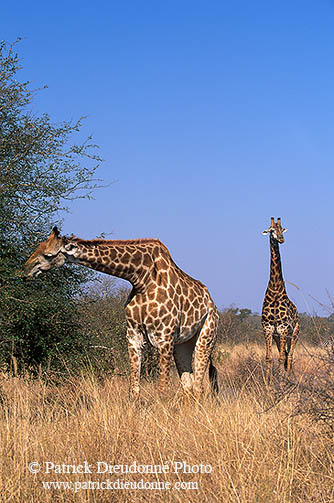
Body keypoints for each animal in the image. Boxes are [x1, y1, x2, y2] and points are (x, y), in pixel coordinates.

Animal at [24, 226, 220, 400]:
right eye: (38, 246)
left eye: (48, 255)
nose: (26, 269)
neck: (142, 279)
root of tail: (213, 305)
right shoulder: (133, 335)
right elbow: (133, 390)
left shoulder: (164, 338)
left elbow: (162, 390)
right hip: (182, 344)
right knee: (189, 385)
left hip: (205, 337)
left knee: (199, 386)